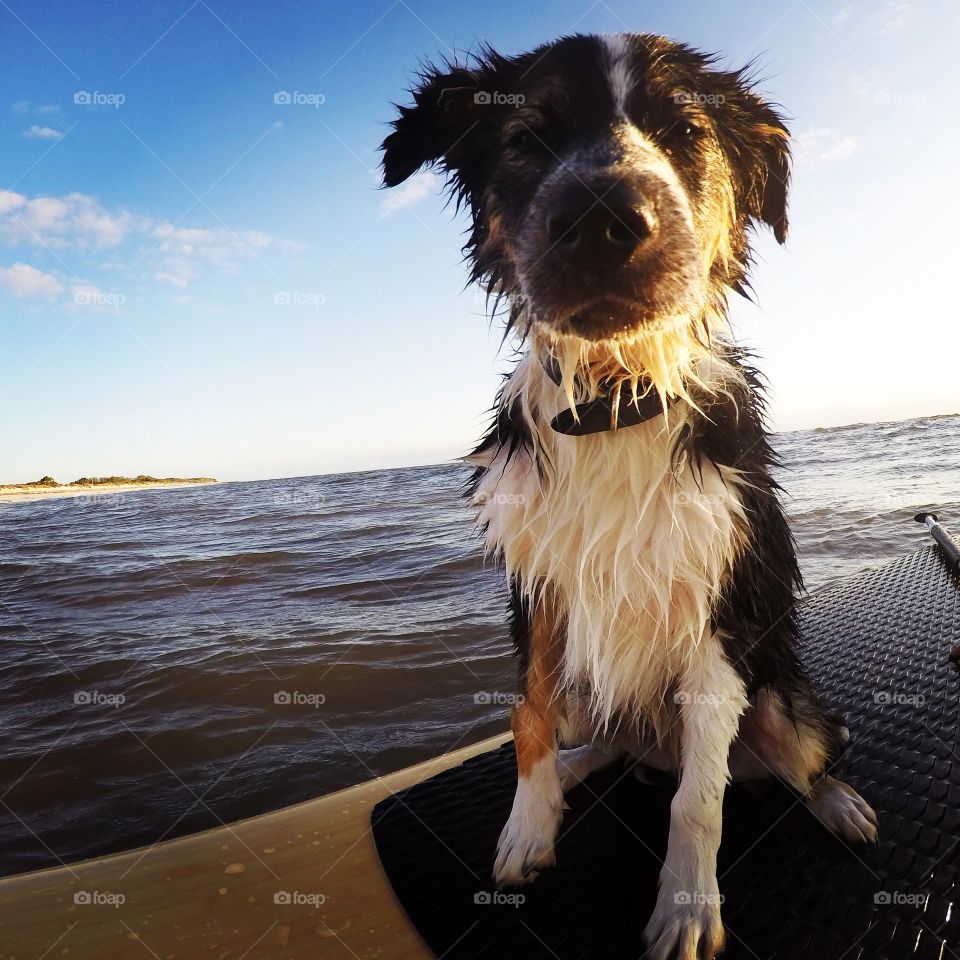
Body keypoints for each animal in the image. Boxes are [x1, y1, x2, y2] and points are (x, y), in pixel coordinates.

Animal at [382, 33, 876, 960]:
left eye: (686, 133)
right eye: (529, 138)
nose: (601, 218)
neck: (613, 403)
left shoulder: (717, 604)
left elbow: (700, 798)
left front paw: (685, 905)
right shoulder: (538, 587)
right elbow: (526, 713)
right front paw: (526, 829)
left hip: (782, 701)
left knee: (797, 756)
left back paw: (839, 804)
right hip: (597, 698)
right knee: (597, 742)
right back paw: (576, 772)